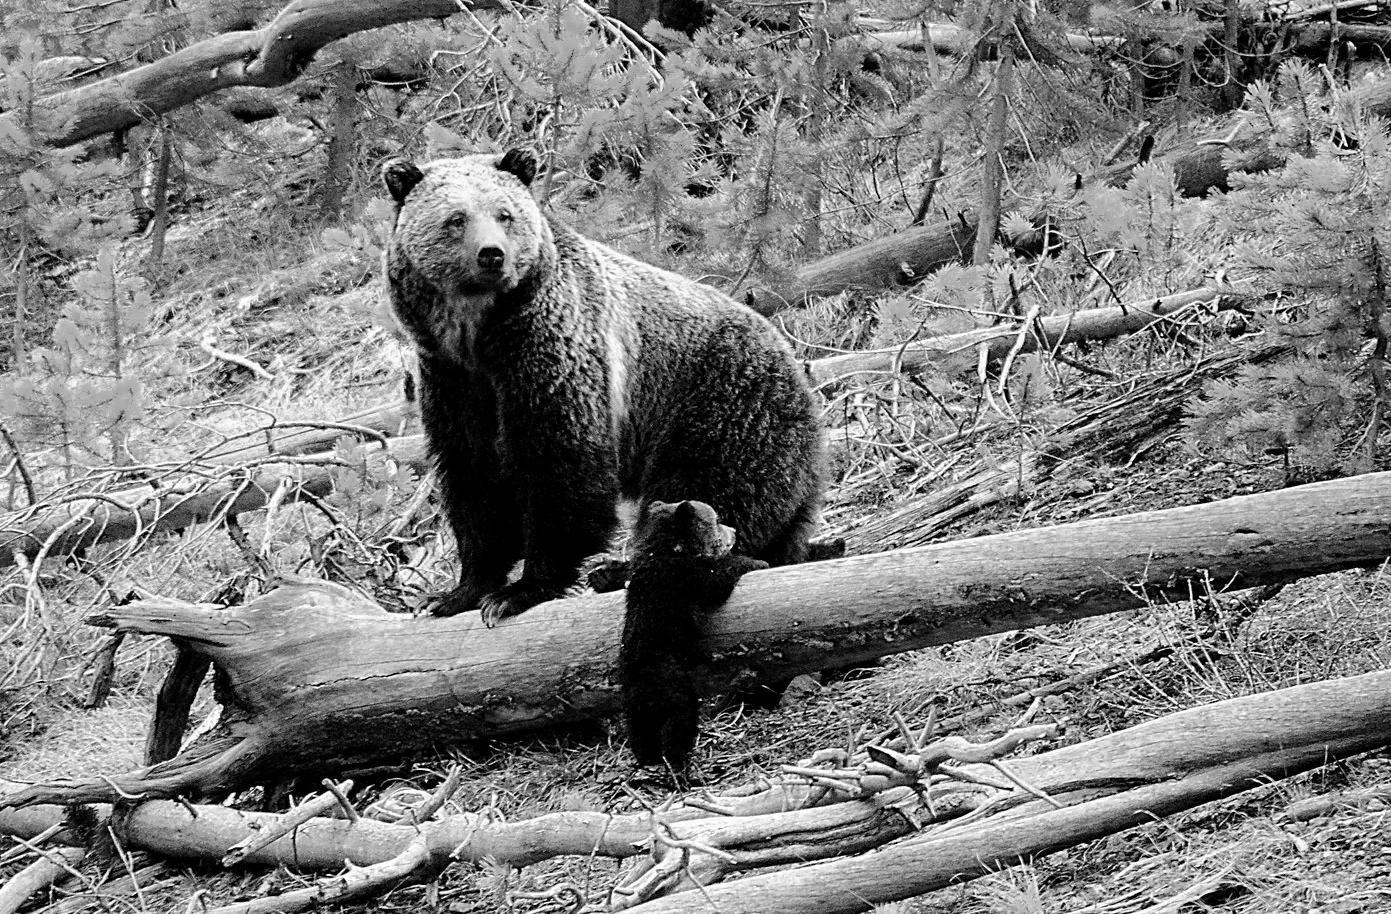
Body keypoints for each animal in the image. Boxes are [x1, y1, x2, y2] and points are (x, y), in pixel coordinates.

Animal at [381, 149, 824, 626]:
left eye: (504, 213)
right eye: (456, 218)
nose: (492, 255)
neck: (478, 334)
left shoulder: (550, 353)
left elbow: (560, 465)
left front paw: (521, 590)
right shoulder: (453, 380)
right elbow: (474, 478)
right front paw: (456, 592)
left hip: (720, 403)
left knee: (708, 492)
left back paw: (623, 568)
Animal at [619, 499, 766, 773]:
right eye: (716, 519)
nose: (734, 531)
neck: (669, 549)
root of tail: (643, 688)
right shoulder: (684, 576)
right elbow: (715, 582)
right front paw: (755, 562)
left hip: (634, 706)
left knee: (641, 733)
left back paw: (648, 759)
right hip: (672, 686)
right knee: (680, 723)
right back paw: (680, 764)